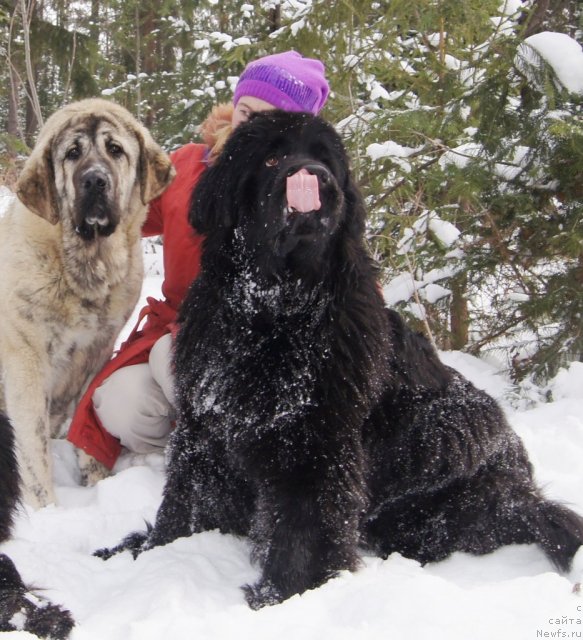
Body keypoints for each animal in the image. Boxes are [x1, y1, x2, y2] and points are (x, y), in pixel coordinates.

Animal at [0, 99, 175, 510]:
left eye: (115, 149)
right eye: (72, 153)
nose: (95, 180)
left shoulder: (98, 350)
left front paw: (96, 479)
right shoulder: (25, 363)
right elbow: (33, 452)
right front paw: (46, 510)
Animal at [99, 111, 583, 608]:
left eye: (326, 160)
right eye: (271, 158)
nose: (315, 178)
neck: (275, 310)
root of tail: (524, 488)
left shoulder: (316, 437)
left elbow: (305, 522)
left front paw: (283, 593)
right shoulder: (208, 423)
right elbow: (190, 499)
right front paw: (149, 552)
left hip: (443, 447)